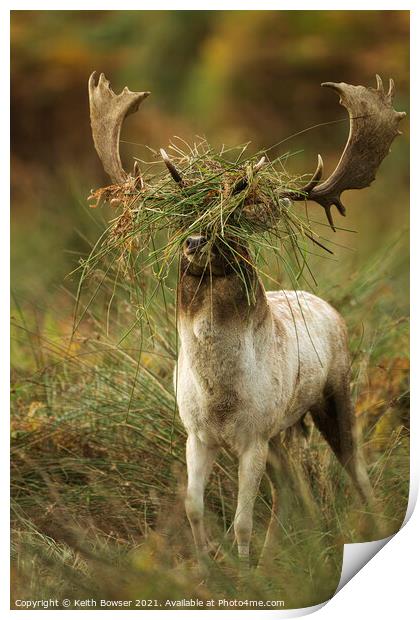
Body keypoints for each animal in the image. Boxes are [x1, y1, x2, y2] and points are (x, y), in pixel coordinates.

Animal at [88, 72, 404, 568]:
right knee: (291, 486)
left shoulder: (253, 436)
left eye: (233, 223)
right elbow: (194, 506)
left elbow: (241, 521)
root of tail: (327, 306)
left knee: (354, 467)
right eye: (183, 218)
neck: (220, 396)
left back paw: (369, 525)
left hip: (335, 393)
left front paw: (242, 567)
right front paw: (208, 565)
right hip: (283, 431)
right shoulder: (197, 435)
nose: (196, 242)